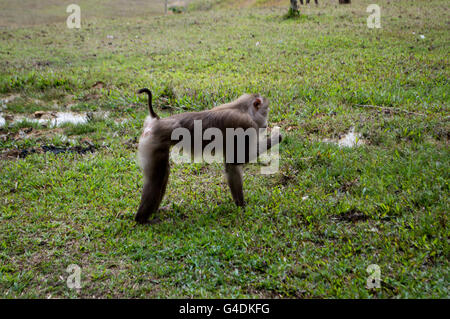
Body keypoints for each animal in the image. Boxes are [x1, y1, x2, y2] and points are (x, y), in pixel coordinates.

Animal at [134, 87, 282, 225]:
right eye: (266, 110)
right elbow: (238, 160)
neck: (244, 109)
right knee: (157, 177)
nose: (266, 123)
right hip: (154, 143)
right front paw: (276, 136)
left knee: (163, 174)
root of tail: (157, 120)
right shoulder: (246, 125)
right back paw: (141, 219)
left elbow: (232, 164)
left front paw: (240, 206)